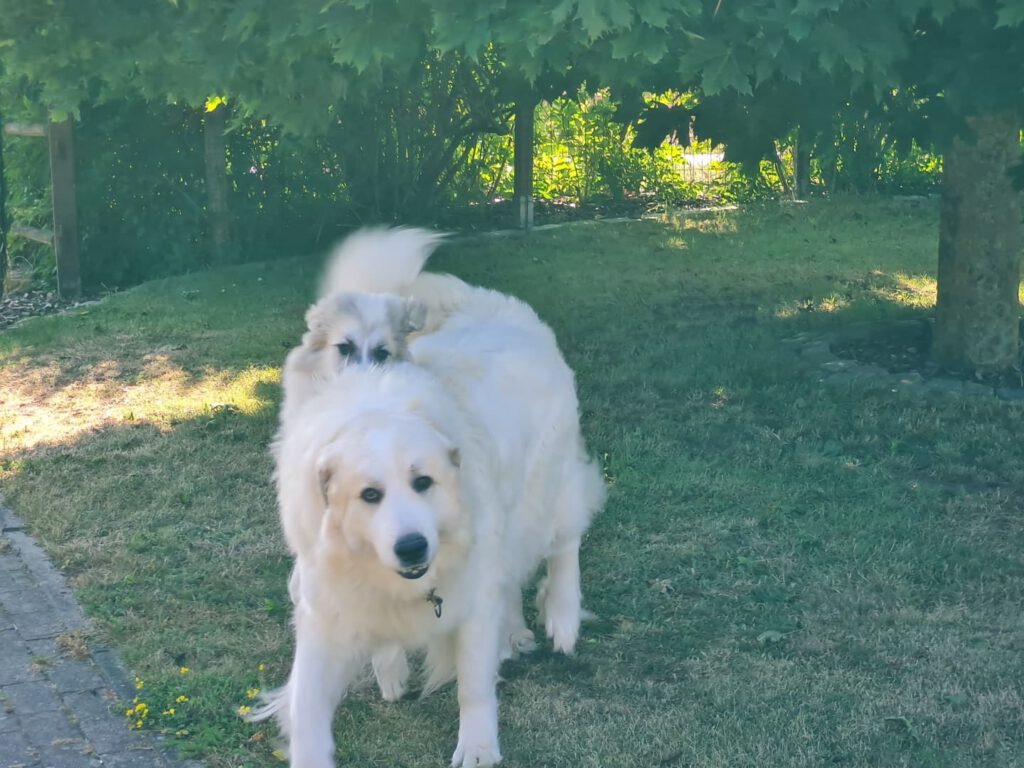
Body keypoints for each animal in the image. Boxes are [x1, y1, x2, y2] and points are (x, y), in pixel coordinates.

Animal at [254, 230, 602, 768]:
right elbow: (309, 708)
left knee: (564, 544)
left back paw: (562, 619)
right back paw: (514, 631)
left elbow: (474, 686)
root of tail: (478, 299)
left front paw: (477, 747)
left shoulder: (470, 596)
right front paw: (388, 670)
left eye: (424, 482)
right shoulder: (327, 606)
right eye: (368, 495)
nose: (413, 547)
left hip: (548, 493)